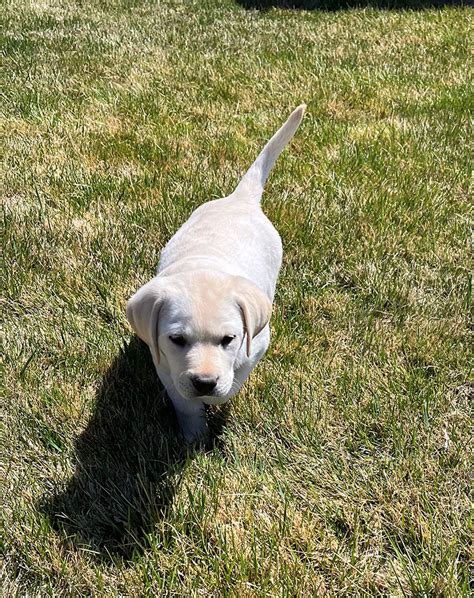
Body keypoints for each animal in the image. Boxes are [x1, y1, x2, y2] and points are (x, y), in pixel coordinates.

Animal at [127, 105, 304, 442]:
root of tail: (239, 200)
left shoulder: (257, 343)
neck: (203, 266)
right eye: (177, 339)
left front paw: (219, 395)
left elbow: (236, 376)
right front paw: (194, 437)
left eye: (228, 339)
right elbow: (185, 404)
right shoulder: (165, 365)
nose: (204, 382)